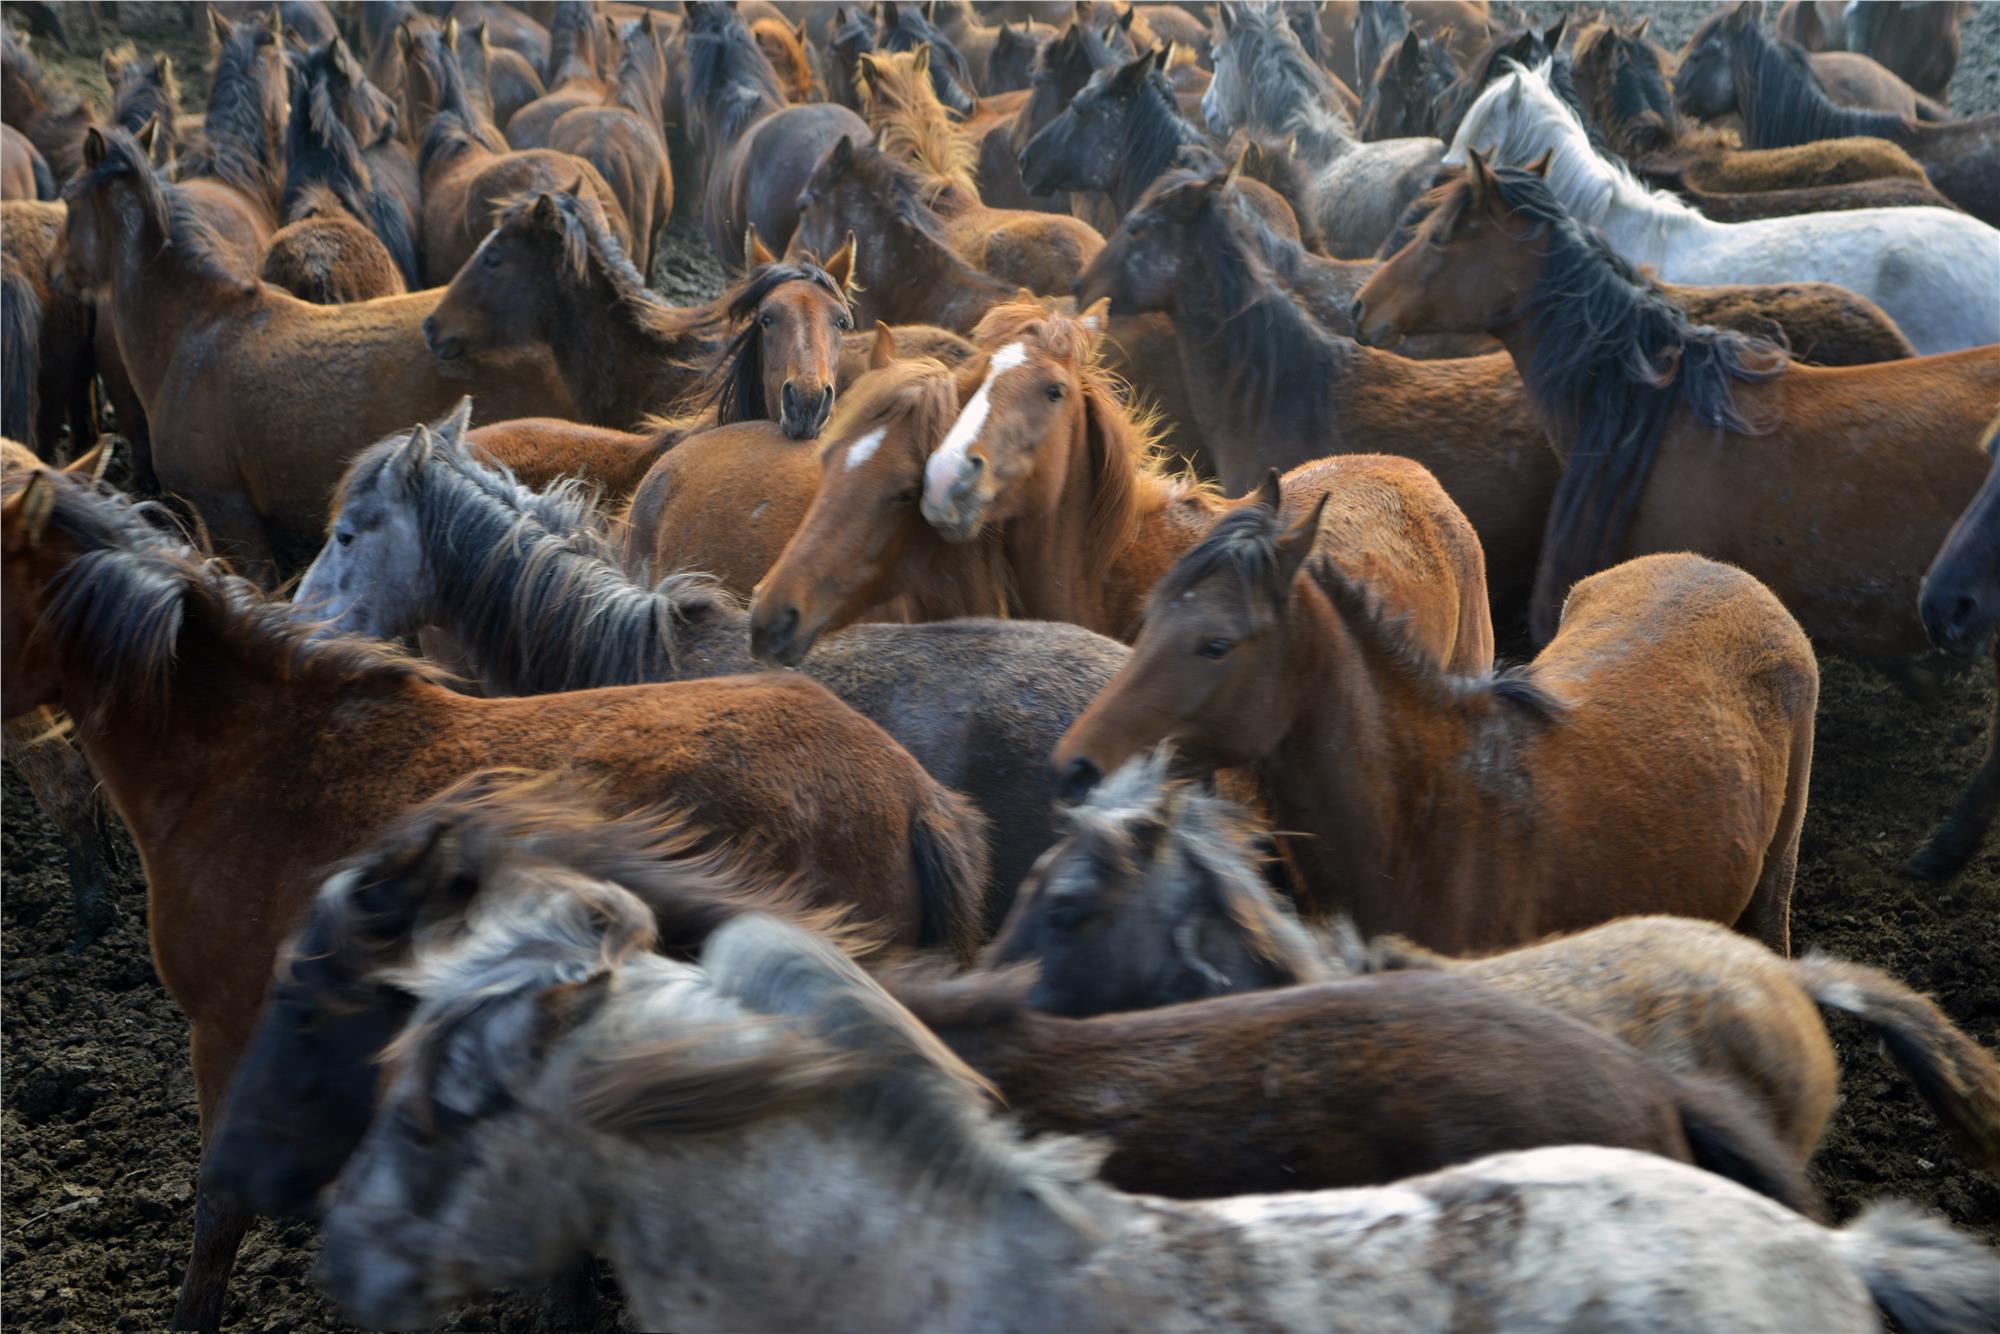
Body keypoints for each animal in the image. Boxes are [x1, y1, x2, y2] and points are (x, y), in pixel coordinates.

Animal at [1055, 497, 1816, 954]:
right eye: (1150, 616)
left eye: (1215, 644)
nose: (1076, 765)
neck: (1426, 818)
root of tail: (1726, 574)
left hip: (1774, 877)